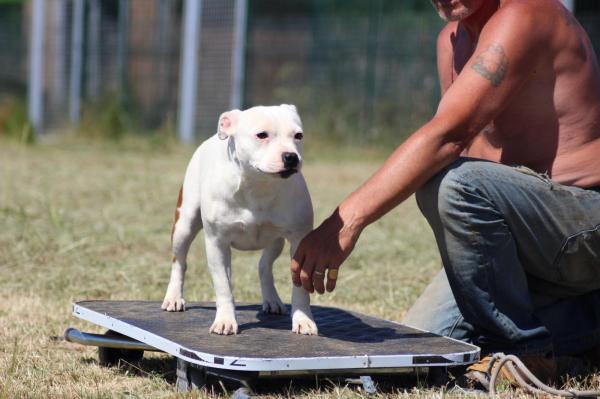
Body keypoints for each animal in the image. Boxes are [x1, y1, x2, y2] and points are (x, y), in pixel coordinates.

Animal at [162, 104, 316, 336]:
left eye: (298, 135)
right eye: (262, 135)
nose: (291, 156)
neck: (259, 185)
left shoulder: (299, 241)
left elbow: (299, 287)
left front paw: (303, 320)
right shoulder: (217, 243)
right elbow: (223, 286)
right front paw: (225, 320)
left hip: (276, 241)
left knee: (264, 266)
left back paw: (272, 300)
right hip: (184, 225)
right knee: (179, 262)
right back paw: (173, 297)